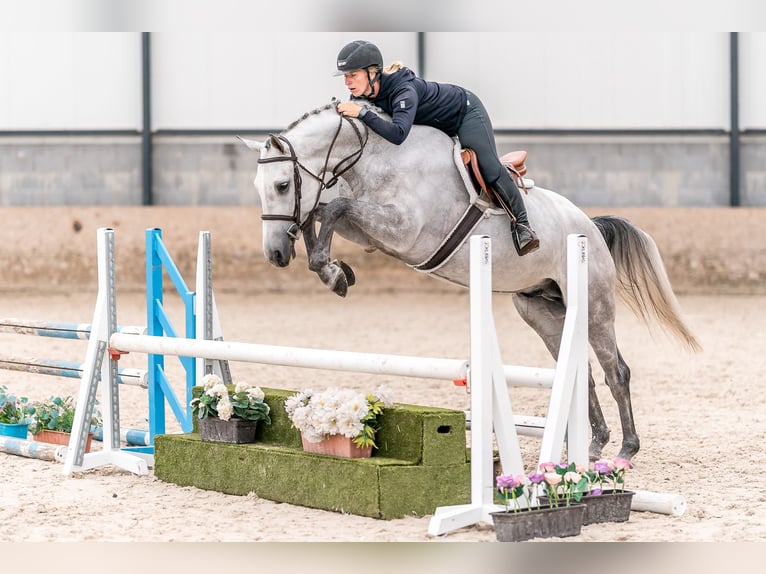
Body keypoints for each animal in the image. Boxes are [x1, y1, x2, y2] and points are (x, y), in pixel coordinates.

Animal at [240, 100, 704, 464]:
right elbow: (321, 211)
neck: (378, 155)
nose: (275, 254)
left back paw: (626, 449)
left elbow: (334, 207)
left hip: (594, 306)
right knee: (581, 372)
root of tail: (590, 226)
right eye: (260, 186)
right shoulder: (374, 234)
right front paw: (334, 271)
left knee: (616, 372)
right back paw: (594, 447)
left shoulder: (403, 233)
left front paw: (331, 270)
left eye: (282, 183)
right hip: (542, 312)